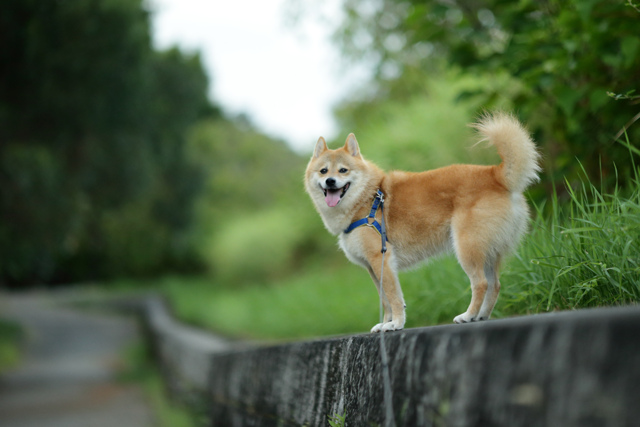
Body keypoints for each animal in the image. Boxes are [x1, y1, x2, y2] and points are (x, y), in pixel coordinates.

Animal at [304, 112, 540, 332]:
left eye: (343, 170)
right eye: (323, 171)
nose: (330, 181)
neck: (367, 198)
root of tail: (496, 175)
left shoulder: (382, 259)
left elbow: (394, 298)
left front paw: (395, 324)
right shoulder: (372, 267)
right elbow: (385, 301)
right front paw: (384, 323)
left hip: (467, 248)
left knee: (481, 284)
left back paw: (468, 315)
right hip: (488, 251)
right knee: (494, 285)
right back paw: (480, 316)